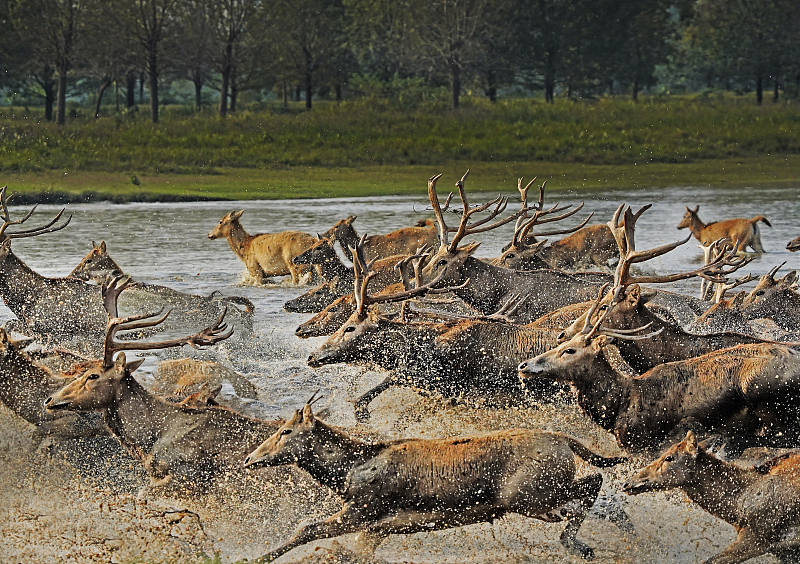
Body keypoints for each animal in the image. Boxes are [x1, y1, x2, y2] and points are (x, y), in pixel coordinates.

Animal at [242, 398, 624, 560]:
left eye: (285, 431)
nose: (249, 459)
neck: (346, 472)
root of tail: (564, 440)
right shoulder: (378, 526)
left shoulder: (362, 511)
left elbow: (307, 529)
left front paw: (258, 557)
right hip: (540, 499)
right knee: (593, 488)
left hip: (528, 496)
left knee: (594, 482)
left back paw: (576, 542)